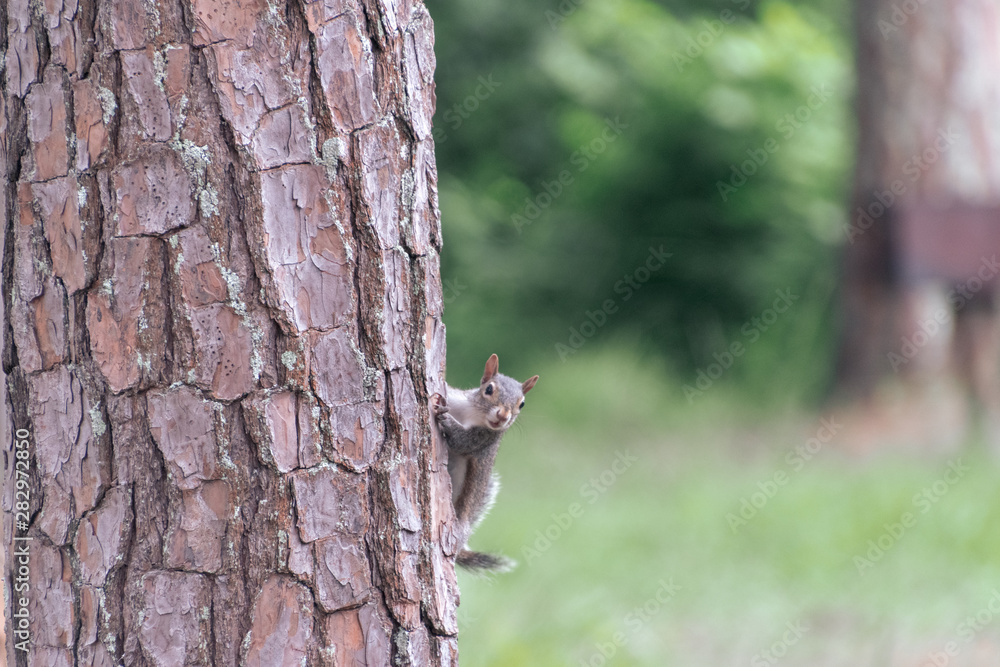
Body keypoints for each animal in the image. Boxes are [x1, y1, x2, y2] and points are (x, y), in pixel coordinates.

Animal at [432, 354, 538, 573]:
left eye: (522, 404)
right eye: (489, 389)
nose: (503, 416)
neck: (474, 413)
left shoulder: (483, 438)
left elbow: (460, 440)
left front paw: (445, 416)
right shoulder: (456, 398)